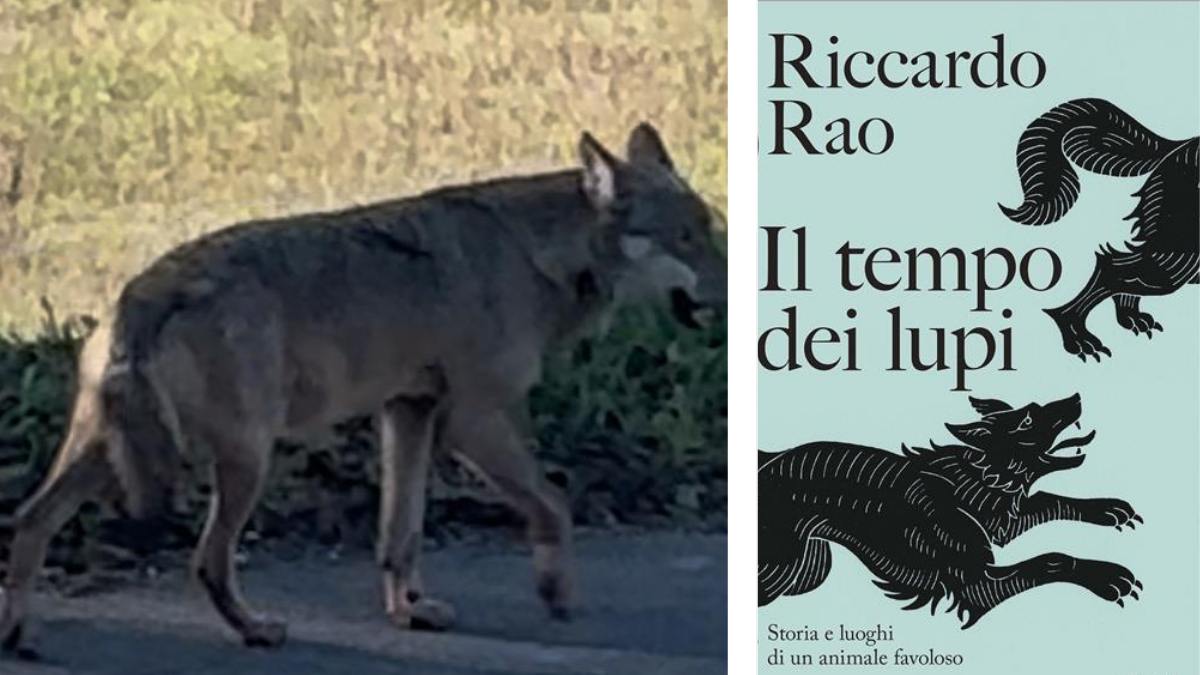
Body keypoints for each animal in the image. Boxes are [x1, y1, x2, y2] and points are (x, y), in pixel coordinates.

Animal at [0, 123, 725, 653]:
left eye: (710, 232)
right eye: (685, 239)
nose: (731, 288)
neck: (538, 254)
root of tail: (141, 294)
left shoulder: (409, 412)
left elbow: (399, 536)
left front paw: (408, 613)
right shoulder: (473, 419)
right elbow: (553, 505)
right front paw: (555, 592)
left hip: (117, 455)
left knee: (29, 520)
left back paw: (18, 634)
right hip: (245, 460)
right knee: (206, 561)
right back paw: (257, 630)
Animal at [759, 394, 1142, 628]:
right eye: (1028, 420)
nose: (1076, 398)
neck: (972, 482)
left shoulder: (1003, 521)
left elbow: (1049, 497)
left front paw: (1107, 509)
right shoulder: (976, 585)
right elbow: (1050, 559)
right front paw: (1106, 577)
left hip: (809, 567)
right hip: (781, 566)